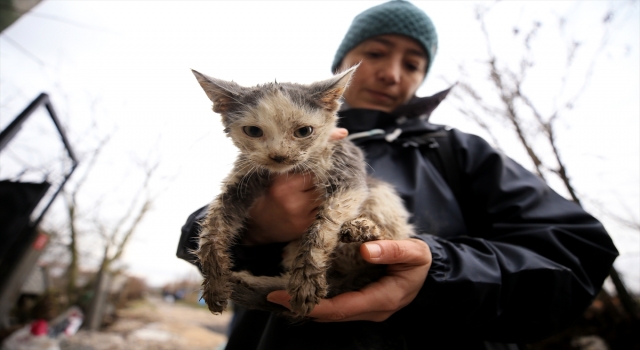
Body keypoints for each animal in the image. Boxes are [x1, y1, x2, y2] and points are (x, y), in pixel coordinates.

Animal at [192, 66, 412, 320]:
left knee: (392, 244)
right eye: (253, 131)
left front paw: (307, 283)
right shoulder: (244, 177)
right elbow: (212, 226)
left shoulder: (348, 174)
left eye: (304, 131)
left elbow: (324, 226)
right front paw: (215, 285)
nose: (279, 156)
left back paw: (364, 230)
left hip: (382, 195)